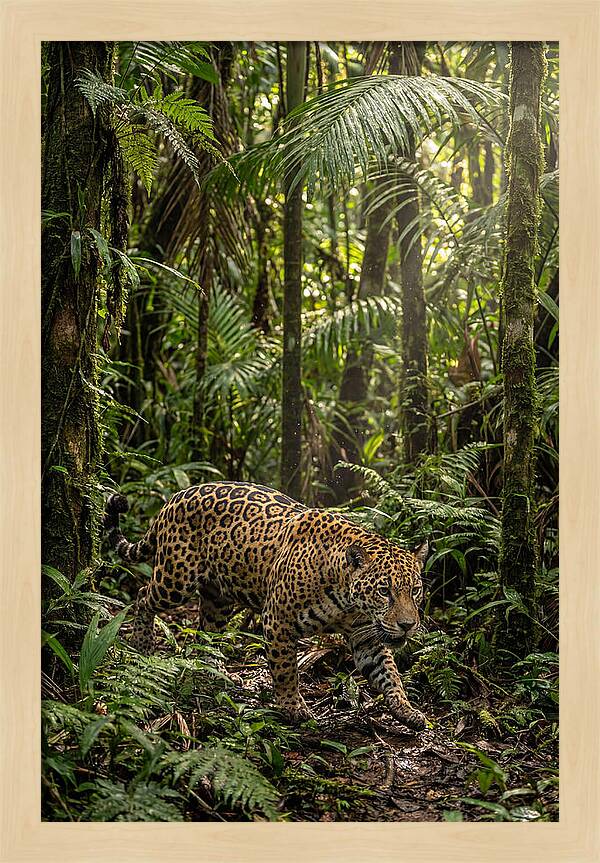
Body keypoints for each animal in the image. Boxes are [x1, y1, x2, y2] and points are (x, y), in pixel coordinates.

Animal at [104, 481, 429, 731]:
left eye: (414, 591)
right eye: (384, 591)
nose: (408, 625)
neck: (347, 600)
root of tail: (175, 497)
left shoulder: (366, 638)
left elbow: (389, 673)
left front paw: (407, 710)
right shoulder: (278, 622)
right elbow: (286, 670)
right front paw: (293, 708)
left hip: (218, 599)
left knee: (206, 630)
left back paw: (214, 669)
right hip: (175, 579)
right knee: (143, 595)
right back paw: (143, 643)